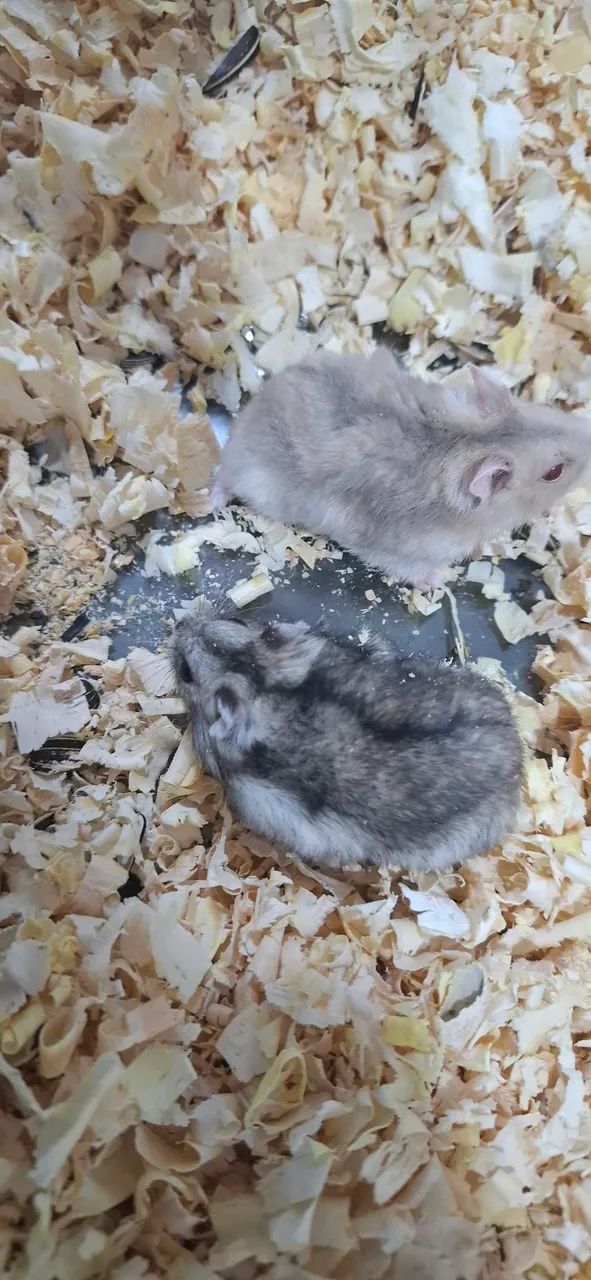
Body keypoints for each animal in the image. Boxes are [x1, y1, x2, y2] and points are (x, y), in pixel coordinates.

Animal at [212, 348, 591, 587]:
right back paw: (215, 500)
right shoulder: (398, 549)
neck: (466, 442)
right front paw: (442, 580)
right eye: (554, 472)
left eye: (547, 411)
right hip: (254, 478)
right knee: (225, 476)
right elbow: (412, 569)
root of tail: (252, 409)